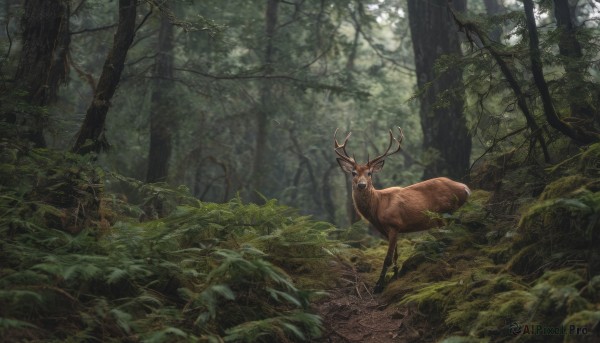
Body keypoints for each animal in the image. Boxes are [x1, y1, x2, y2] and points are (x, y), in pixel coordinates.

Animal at [336, 127, 472, 294]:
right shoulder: (390, 230)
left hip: (445, 212)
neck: (378, 207)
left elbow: (388, 259)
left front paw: (378, 286)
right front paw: (395, 277)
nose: (362, 185)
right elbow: (396, 255)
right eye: (353, 173)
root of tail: (465, 188)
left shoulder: (394, 224)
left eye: (369, 173)